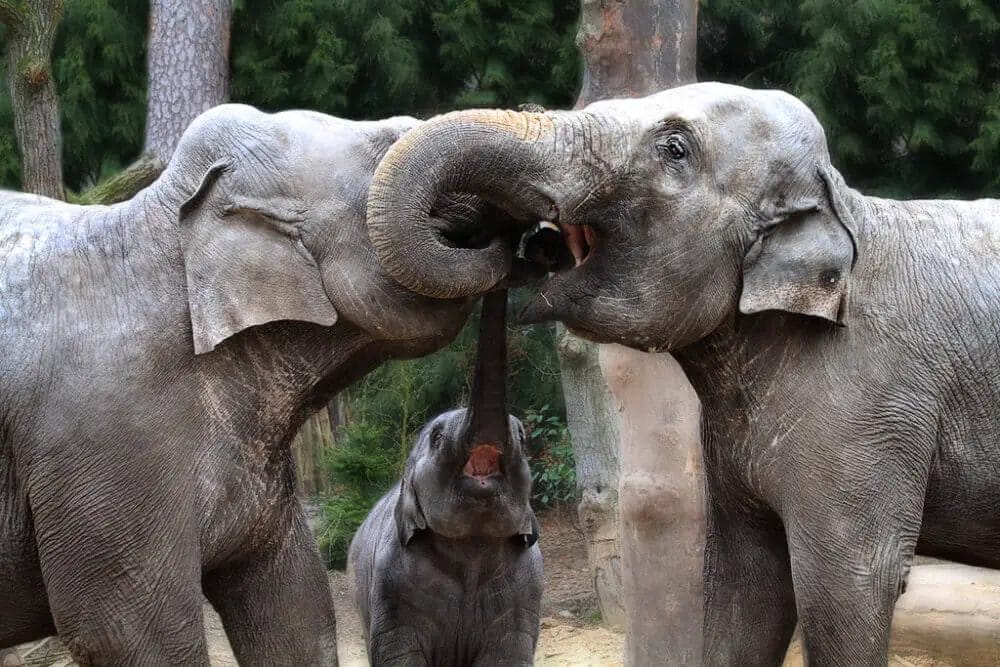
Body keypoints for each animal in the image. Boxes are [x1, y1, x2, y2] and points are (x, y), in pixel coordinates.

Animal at [348, 290, 542, 666]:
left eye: (522, 437)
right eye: (437, 437)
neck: (471, 548)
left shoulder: (525, 590)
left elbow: (506, 655)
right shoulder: (391, 586)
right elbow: (400, 655)